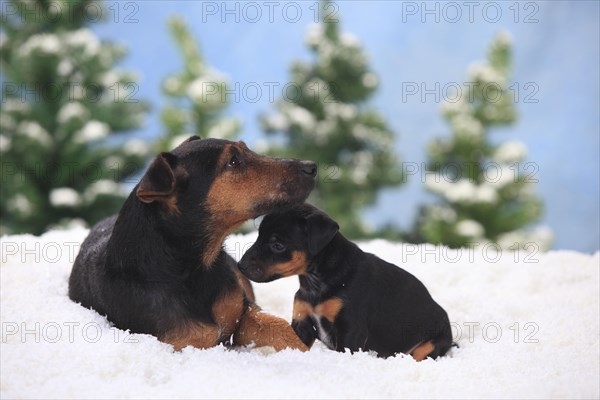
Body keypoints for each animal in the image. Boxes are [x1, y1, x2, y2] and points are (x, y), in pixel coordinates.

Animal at [68, 137, 316, 350]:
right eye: (233, 161)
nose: (312, 167)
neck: (191, 266)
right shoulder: (187, 343)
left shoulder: (245, 314)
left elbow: (284, 330)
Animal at [237, 205, 452, 358]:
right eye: (258, 236)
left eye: (278, 245)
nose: (241, 265)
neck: (315, 281)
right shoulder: (302, 324)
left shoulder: (350, 330)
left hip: (430, 343)